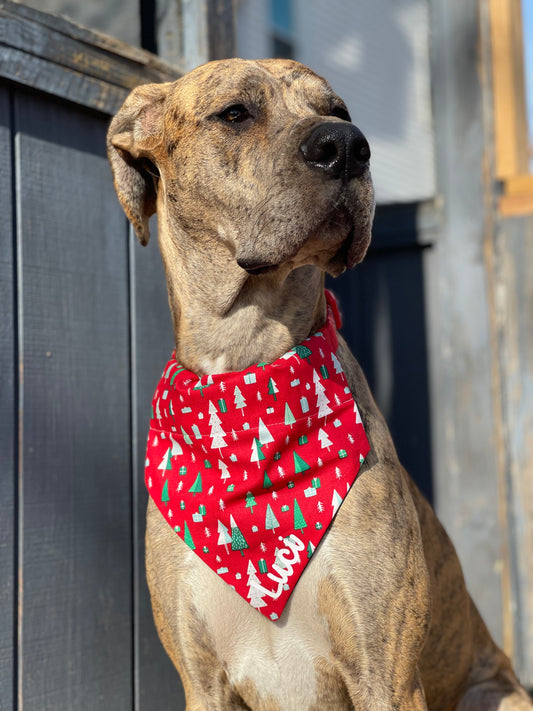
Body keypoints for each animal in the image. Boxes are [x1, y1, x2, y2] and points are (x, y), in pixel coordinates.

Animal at [106, 61, 528, 711]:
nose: (347, 147)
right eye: (235, 113)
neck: (249, 368)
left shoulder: (386, 673)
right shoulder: (202, 681)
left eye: (339, 111)